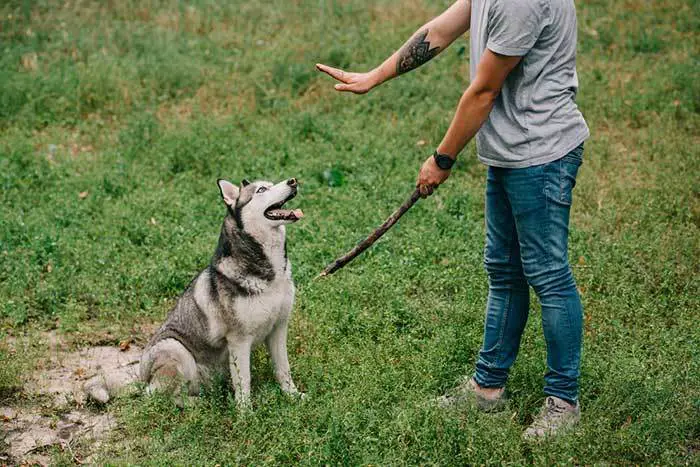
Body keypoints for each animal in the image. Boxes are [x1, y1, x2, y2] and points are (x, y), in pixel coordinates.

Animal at [83, 177, 302, 408]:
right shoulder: (239, 340)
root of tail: (141, 379)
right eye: (261, 190)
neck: (270, 273)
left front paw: (293, 396)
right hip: (175, 349)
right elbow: (244, 383)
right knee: (164, 397)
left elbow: (283, 370)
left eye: (272, 182)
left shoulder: (278, 329)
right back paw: (198, 404)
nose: (293, 181)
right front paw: (246, 413)